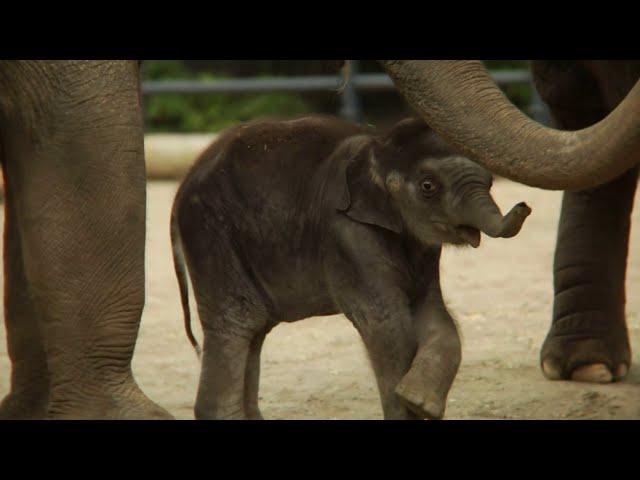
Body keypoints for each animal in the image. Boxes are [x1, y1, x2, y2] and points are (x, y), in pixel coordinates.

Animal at [171, 114, 528, 418]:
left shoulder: (422, 248)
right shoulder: (346, 233)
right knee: (236, 323)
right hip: (211, 235)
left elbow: (432, 313)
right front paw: (407, 403)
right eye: (429, 186)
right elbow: (388, 324)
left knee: (254, 331)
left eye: (491, 182)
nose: (524, 206)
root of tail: (184, 183)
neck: (376, 145)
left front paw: (418, 400)